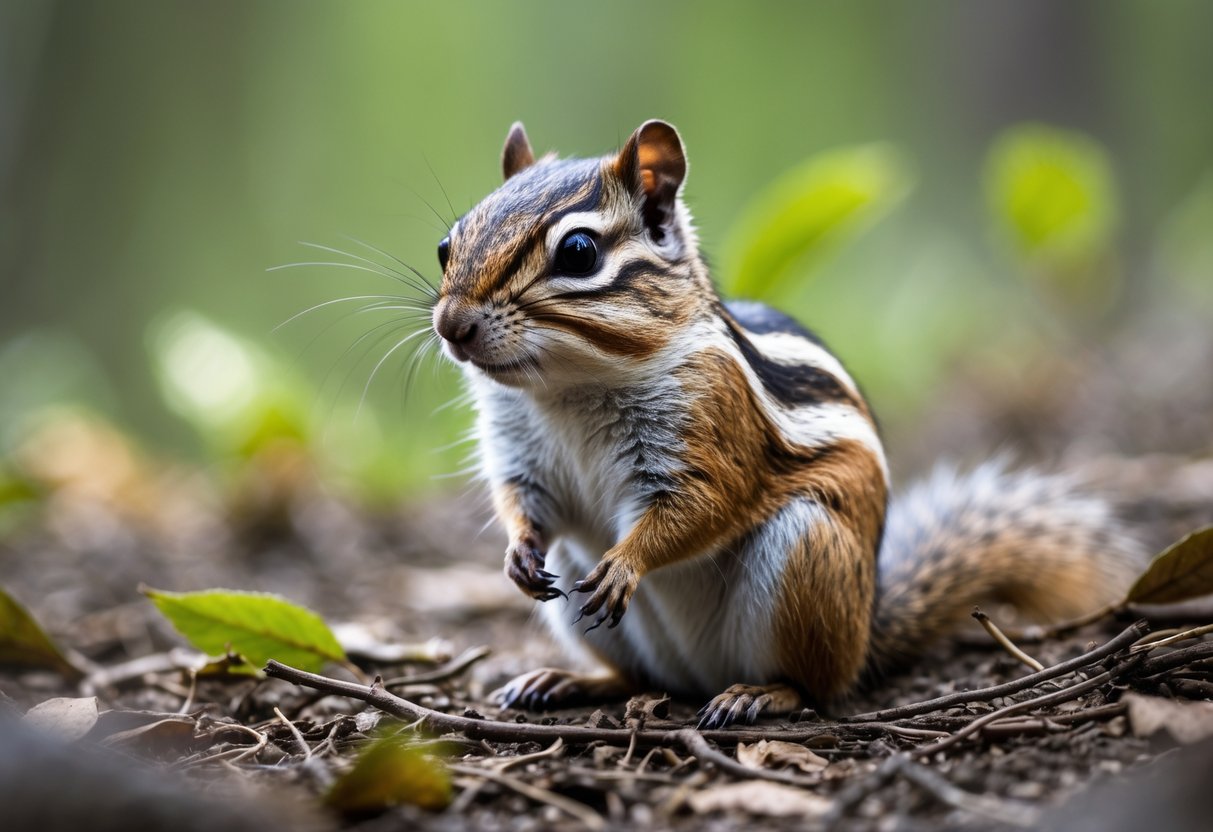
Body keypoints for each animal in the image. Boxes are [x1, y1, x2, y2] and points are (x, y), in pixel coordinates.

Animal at [430, 119, 1143, 728]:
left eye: (579, 252)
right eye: (446, 244)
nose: (450, 325)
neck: (567, 389)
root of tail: (866, 632)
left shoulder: (713, 428)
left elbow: (701, 506)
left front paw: (628, 562)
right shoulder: (519, 451)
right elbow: (522, 501)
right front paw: (517, 553)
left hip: (807, 554)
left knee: (818, 687)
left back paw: (759, 694)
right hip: (594, 600)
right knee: (636, 678)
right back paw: (567, 681)